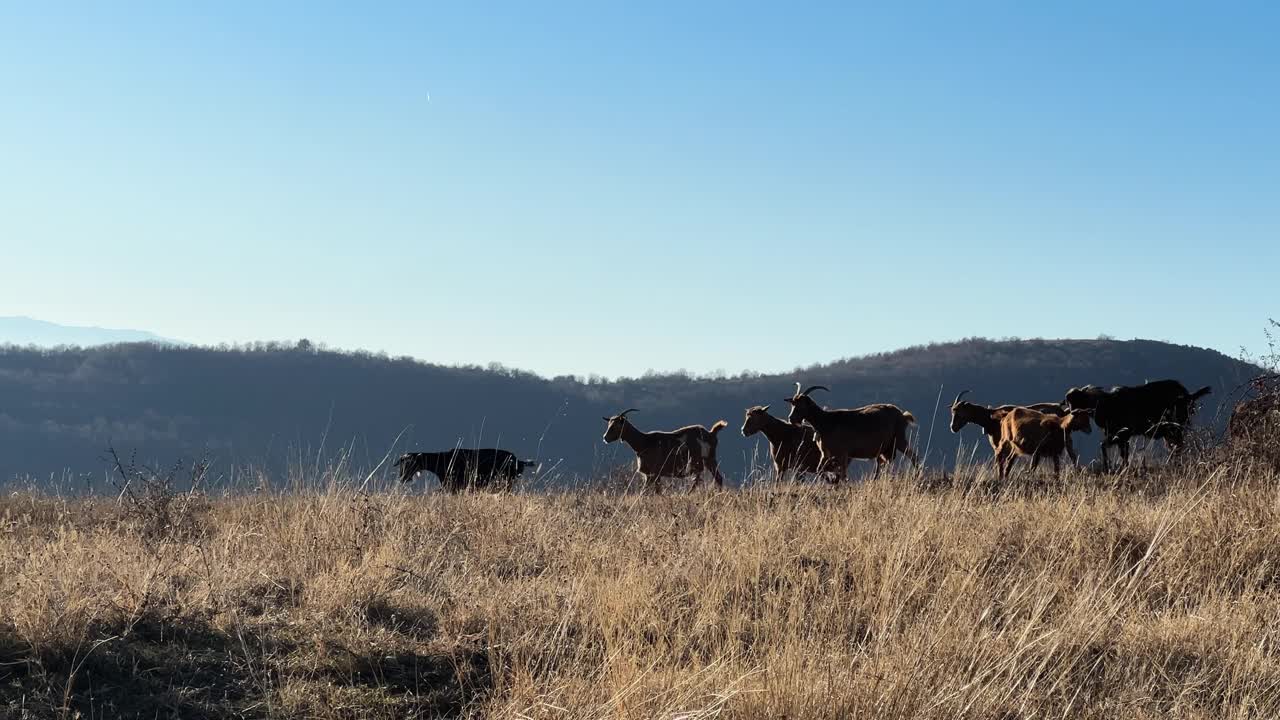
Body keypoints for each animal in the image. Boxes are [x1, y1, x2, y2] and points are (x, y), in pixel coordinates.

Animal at [778, 381, 921, 481]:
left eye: (802, 405)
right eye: (792, 404)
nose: (791, 419)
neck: (825, 422)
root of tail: (902, 415)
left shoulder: (842, 454)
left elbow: (842, 474)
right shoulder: (826, 454)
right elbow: (820, 469)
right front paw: (832, 480)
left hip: (899, 439)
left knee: (914, 456)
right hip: (886, 448)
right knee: (883, 463)